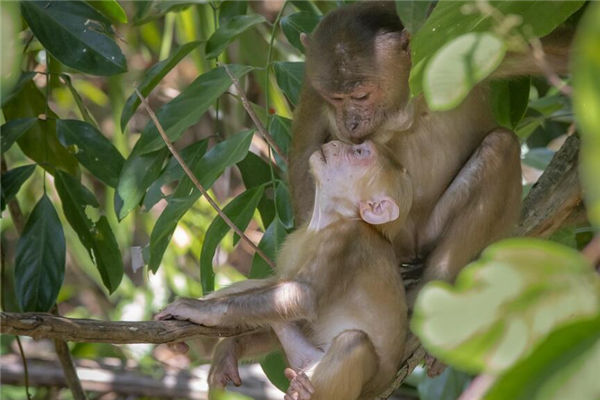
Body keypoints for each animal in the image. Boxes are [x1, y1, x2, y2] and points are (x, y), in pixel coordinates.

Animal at [157, 141, 414, 400]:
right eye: (357, 147)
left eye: (360, 153)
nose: (338, 142)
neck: (329, 220)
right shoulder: (295, 239)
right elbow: (278, 289)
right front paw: (226, 343)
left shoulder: (347, 240)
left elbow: (303, 295)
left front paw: (198, 310)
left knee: (353, 341)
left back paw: (305, 392)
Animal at [288, 0, 564, 288]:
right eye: (335, 98)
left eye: (361, 95)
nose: (350, 123)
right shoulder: (311, 86)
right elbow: (305, 152)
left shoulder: (463, 42)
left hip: (431, 232)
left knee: (501, 145)